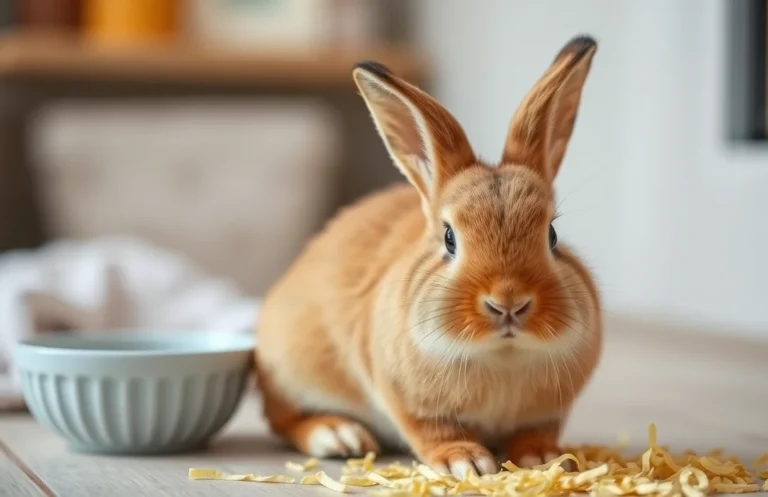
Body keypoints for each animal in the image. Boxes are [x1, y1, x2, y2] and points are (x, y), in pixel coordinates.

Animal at [254, 34, 603, 479]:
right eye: (449, 238)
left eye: (552, 236)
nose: (508, 303)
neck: (501, 356)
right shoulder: (408, 401)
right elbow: (432, 432)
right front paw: (465, 462)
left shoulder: (546, 413)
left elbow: (536, 432)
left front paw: (543, 460)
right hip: (292, 373)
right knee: (283, 418)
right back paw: (338, 435)